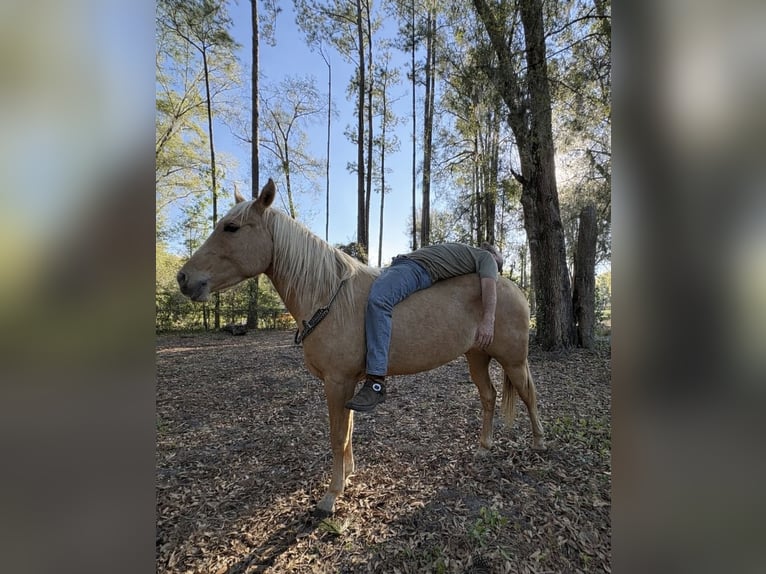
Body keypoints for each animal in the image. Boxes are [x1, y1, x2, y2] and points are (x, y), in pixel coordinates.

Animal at [177, 179, 546, 515]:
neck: (328, 296)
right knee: (489, 397)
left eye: (232, 227)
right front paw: (348, 474)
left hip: (513, 360)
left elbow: (337, 435)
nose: (184, 278)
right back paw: (484, 446)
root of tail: (511, 287)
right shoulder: (348, 382)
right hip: (477, 357)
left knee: (528, 395)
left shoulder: (337, 382)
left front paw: (331, 495)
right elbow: (349, 430)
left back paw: (539, 443)